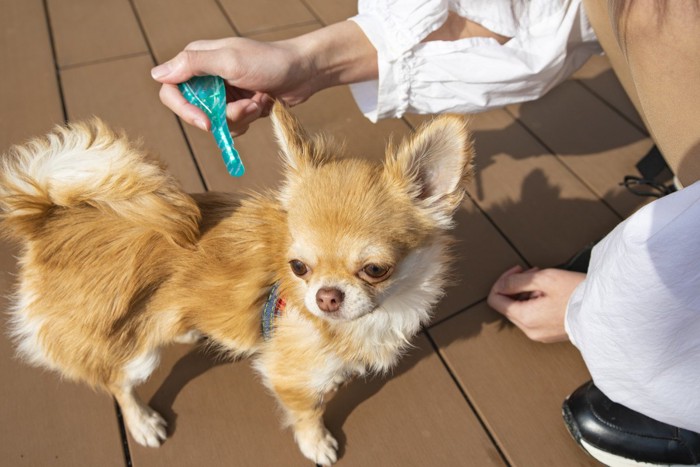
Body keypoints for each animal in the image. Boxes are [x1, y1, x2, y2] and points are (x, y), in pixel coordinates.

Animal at [0, 104, 474, 466]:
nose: (326, 297)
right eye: (298, 267)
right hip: (132, 351)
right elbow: (308, 412)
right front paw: (317, 443)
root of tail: (48, 216)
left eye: (375, 269)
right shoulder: (289, 375)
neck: (383, 311)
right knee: (118, 384)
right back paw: (143, 422)